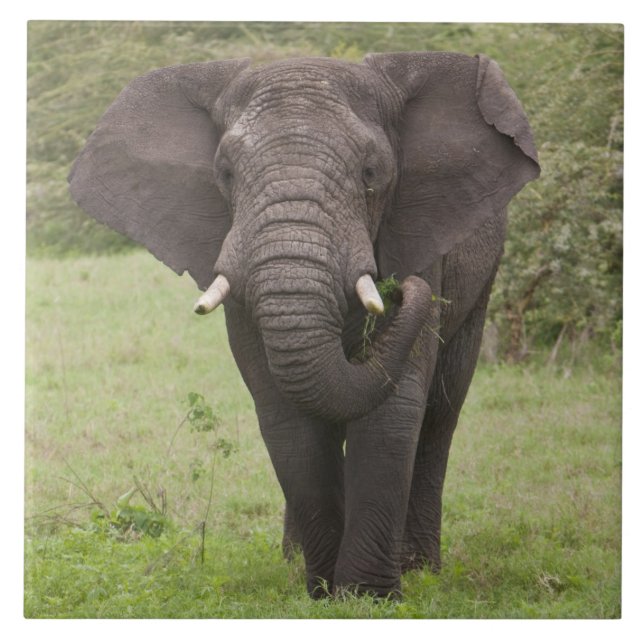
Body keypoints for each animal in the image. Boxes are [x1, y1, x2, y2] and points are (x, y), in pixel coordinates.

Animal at [68, 52, 539, 598]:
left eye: (371, 172)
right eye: (224, 173)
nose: (401, 288)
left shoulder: (424, 232)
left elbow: (394, 409)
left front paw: (368, 596)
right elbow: (284, 413)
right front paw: (323, 592)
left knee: (441, 412)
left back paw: (422, 567)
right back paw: (294, 561)